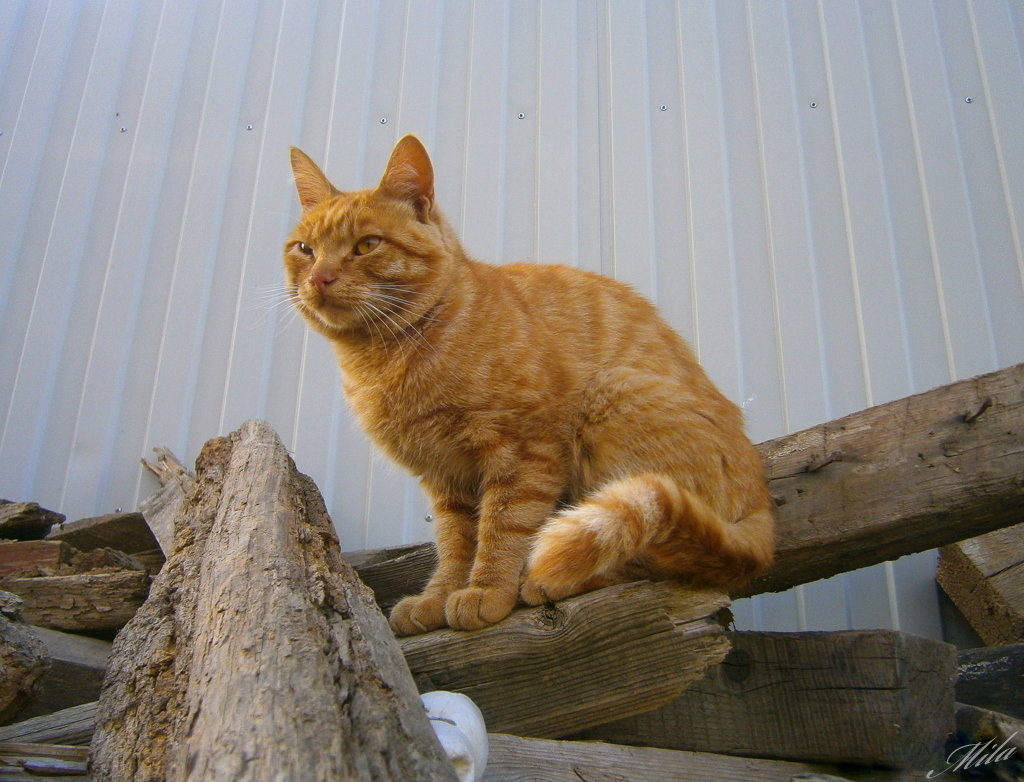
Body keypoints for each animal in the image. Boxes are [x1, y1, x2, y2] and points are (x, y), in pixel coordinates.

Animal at [284, 134, 770, 634]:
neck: (389, 356)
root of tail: (759, 501)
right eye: (304, 248)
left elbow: (504, 527)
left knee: (657, 558)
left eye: (367, 245)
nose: (319, 278)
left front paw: (487, 590)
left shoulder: (524, 450)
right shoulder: (447, 480)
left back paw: (550, 581)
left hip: (610, 395)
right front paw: (437, 597)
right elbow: (455, 544)